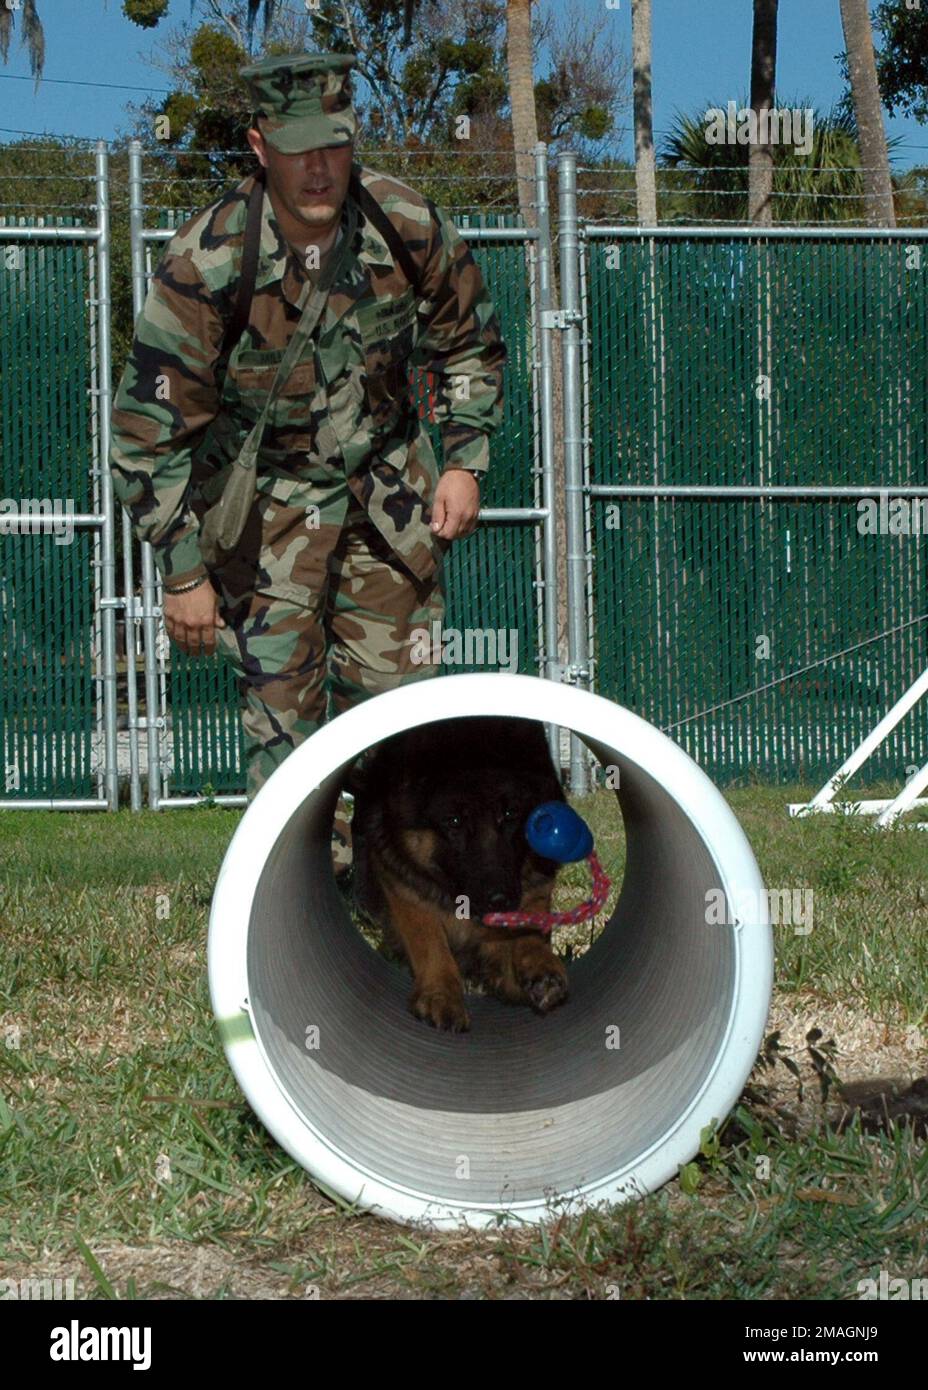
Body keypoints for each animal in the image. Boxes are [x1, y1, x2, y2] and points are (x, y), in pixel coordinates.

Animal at [345, 717, 569, 1034]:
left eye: (510, 814)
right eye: (453, 821)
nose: (499, 899)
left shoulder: (532, 885)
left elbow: (530, 924)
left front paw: (540, 964)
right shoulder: (401, 877)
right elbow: (427, 936)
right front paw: (440, 993)